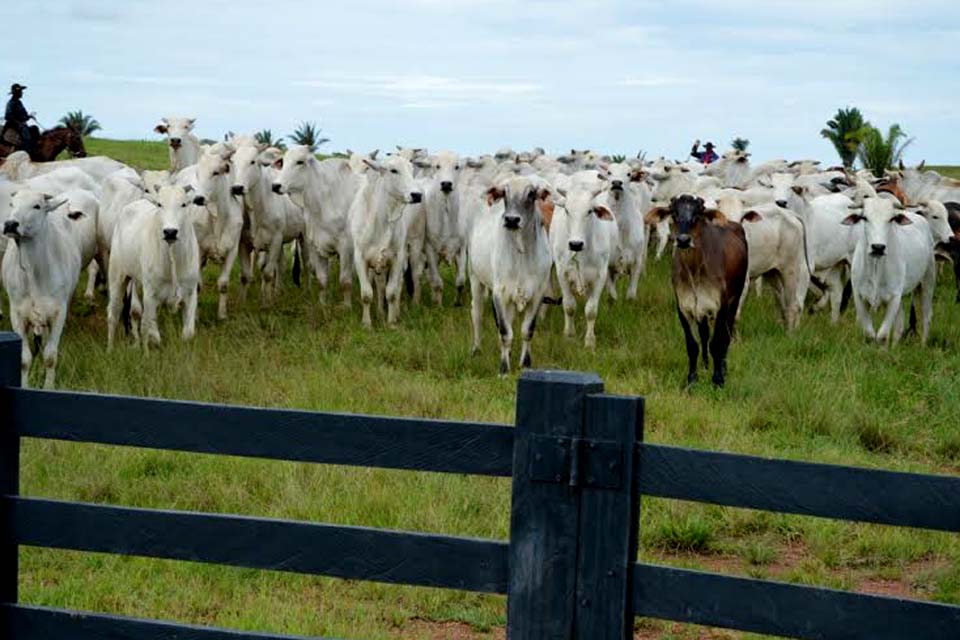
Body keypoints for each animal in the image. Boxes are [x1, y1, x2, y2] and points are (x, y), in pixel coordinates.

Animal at [2, 189, 81, 390]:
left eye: (37, 206)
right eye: (12, 204)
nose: (10, 224)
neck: (33, 273)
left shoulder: (58, 313)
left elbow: (50, 357)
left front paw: (48, 387)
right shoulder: (17, 314)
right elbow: (24, 359)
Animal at [106, 185, 199, 350]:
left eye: (183, 204)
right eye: (159, 204)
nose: (170, 232)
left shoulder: (191, 292)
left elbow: (188, 333)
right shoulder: (151, 294)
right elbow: (150, 331)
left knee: (133, 311)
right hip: (117, 277)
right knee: (113, 314)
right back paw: (110, 349)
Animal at [344, 154, 420, 324]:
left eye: (411, 170)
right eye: (393, 170)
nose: (417, 195)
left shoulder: (397, 258)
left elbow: (391, 292)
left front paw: (391, 322)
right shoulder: (360, 258)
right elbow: (366, 294)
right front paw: (367, 323)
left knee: (394, 287)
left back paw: (393, 312)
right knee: (379, 285)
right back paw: (379, 312)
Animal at [468, 175, 552, 376]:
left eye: (531, 193)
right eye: (504, 193)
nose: (511, 220)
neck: (521, 251)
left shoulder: (538, 294)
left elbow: (527, 330)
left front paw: (525, 363)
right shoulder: (499, 292)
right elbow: (505, 332)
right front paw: (504, 369)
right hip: (475, 277)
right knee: (477, 313)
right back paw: (476, 349)